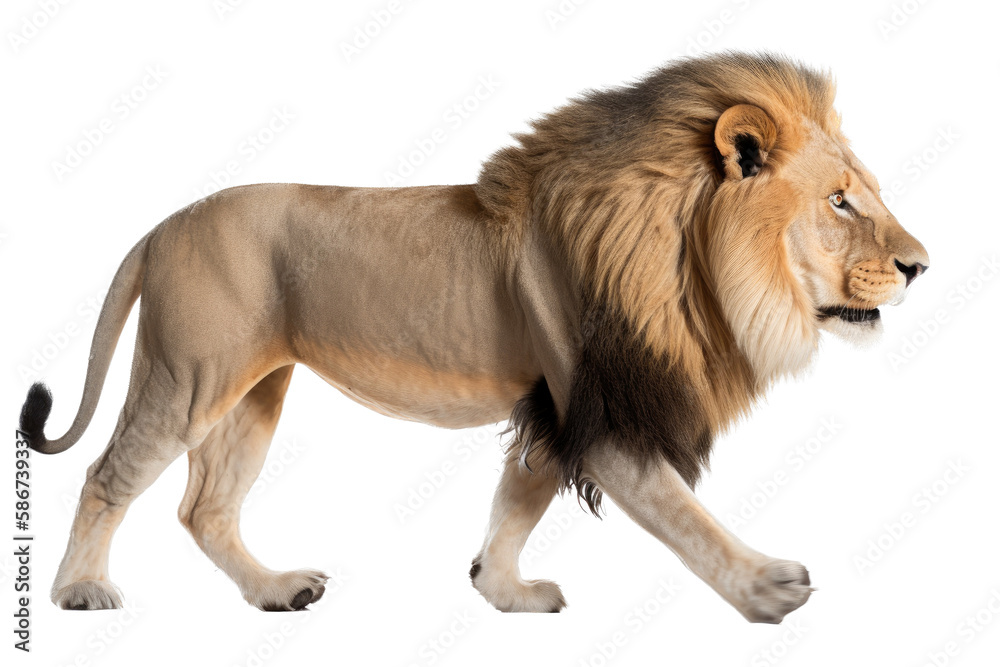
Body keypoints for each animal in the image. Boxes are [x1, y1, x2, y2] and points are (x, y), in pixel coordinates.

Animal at [19, 52, 928, 622]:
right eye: (840, 201)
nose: (921, 266)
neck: (687, 261)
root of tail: (161, 225)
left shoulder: (559, 408)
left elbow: (515, 502)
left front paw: (502, 590)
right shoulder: (606, 415)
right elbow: (684, 514)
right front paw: (764, 584)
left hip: (254, 390)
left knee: (204, 507)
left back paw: (276, 590)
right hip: (190, 377)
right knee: (106, 474)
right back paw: (79, 592)